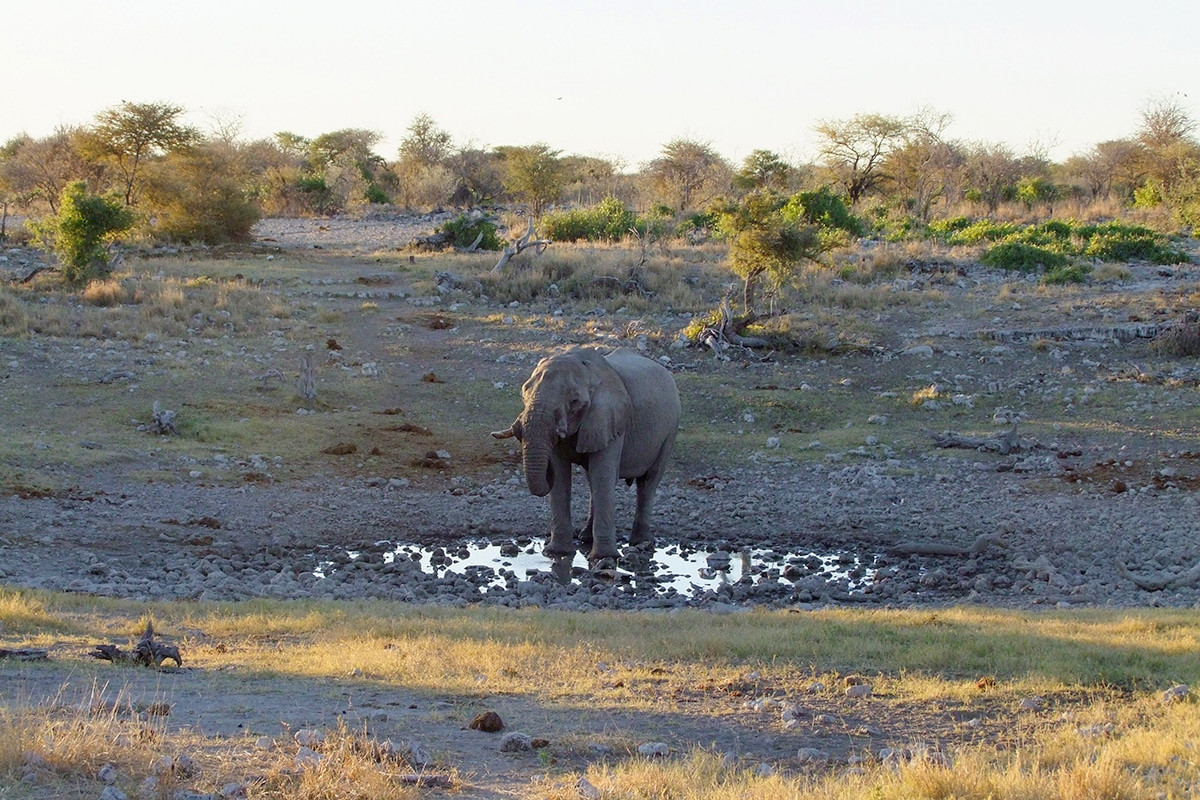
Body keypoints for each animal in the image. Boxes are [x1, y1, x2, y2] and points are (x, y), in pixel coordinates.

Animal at [492, 347, 680, 568]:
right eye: (524, 393)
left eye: (574, 402)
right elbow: (562, 476)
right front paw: (556, 553)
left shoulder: (611, 419)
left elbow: (603, 475)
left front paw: (604, 558)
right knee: (593, 482)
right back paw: (585, 538)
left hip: (670, 429)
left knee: (648, 482)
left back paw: (641, 542)